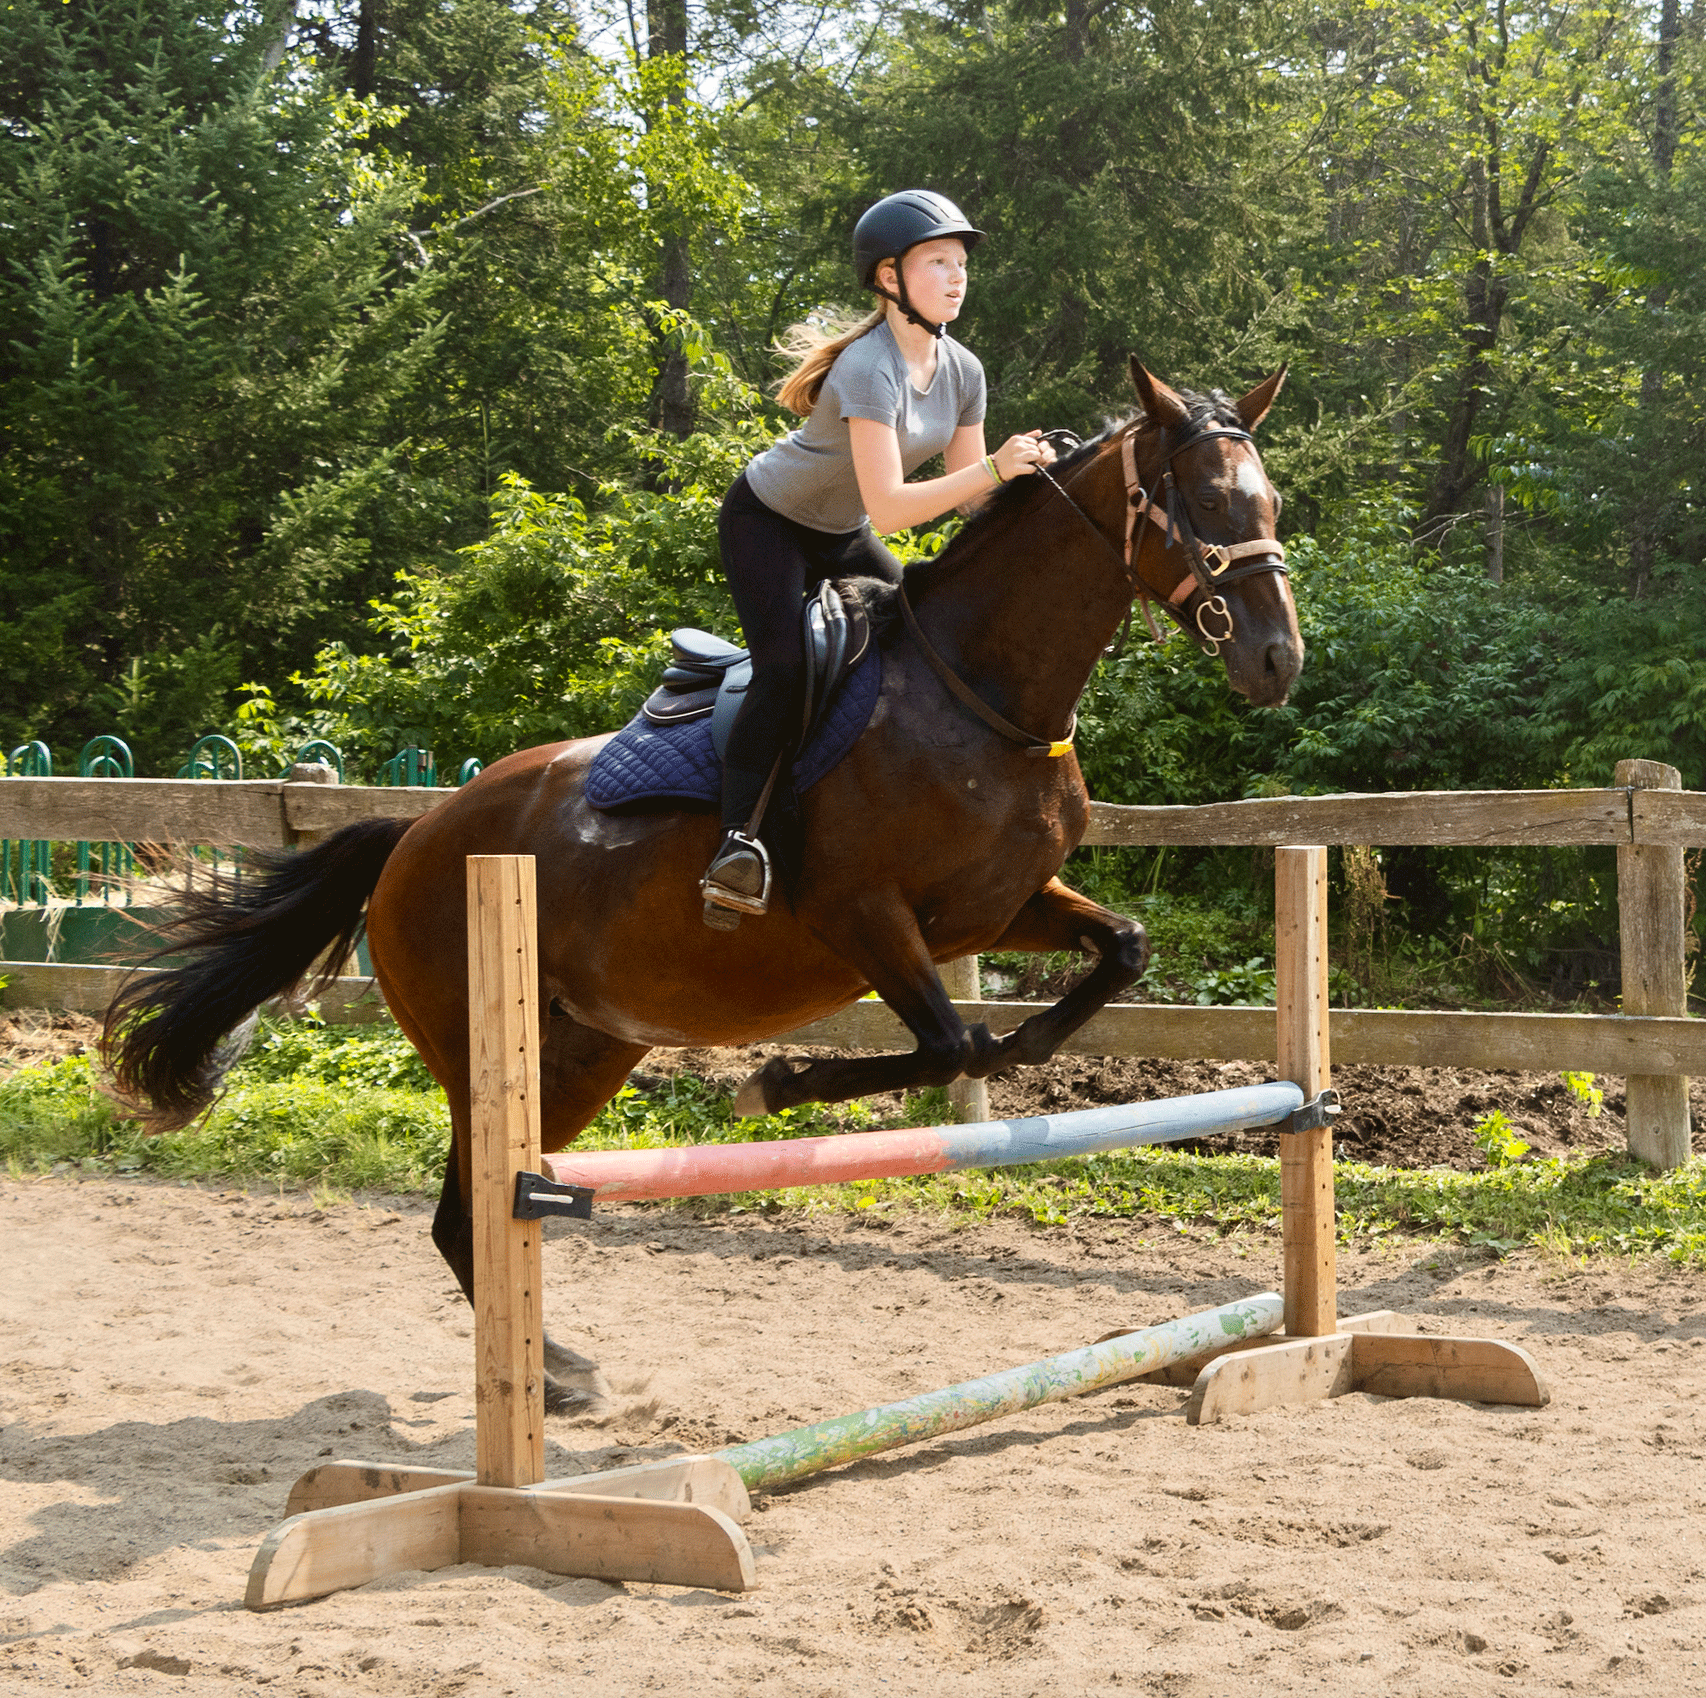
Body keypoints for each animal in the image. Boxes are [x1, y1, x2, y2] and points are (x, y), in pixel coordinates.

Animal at [105, 359, 1299, 1412]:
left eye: (1270, 498)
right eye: (1202, 499)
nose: (1279, 660)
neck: (982, 696)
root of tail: (415, 836)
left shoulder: (997, 908)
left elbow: (1114, 954)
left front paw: (1029, 1051)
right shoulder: (862, 918)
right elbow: (947, 1042)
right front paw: (773, 1083)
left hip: (585, 1050)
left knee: (481, 1210)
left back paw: (557, 1371)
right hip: (483, 1049)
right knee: (468, 1214)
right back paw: (555, 1378)